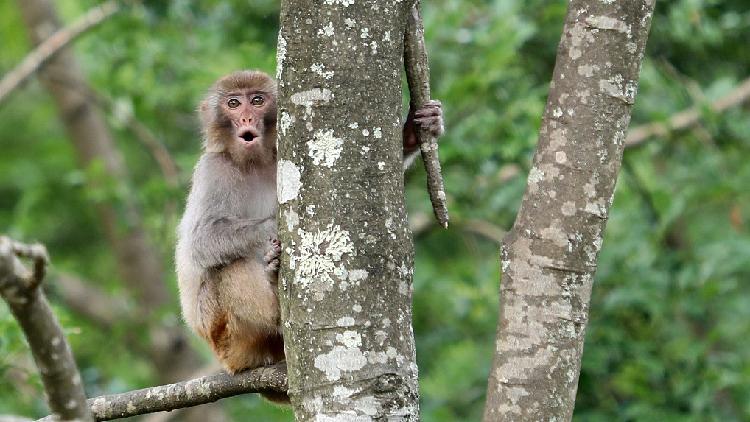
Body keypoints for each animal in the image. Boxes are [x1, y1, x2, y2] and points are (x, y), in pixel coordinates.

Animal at [176, 68, 446, 380]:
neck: (253, 162)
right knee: (228, 266)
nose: (245, 119)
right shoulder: (214, 170)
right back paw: (275, 300)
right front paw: (274, 224)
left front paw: (415, 132)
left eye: (257, 101)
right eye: (233, 104)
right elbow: (201, 241)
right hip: (224, 333)